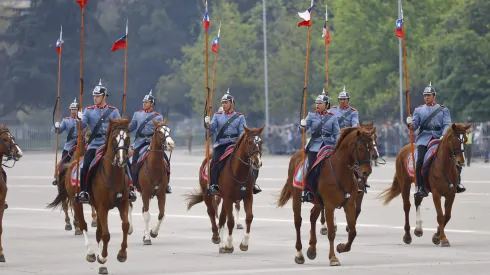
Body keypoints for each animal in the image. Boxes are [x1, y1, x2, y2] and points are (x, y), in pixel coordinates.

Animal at [127, 118, 175, 246]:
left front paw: (153, 232)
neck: (155, 166)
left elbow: (161, 214)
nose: (171, 144)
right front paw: (148, 238)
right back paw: (130, 228)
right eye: (159, 131)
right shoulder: (145, 193)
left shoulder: (161, 193)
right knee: (130, 207)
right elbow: (147, 216)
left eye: (169, 130)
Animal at [276, 127, 376, 268]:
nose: (366, 171)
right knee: (298, 222)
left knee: (312, 216)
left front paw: (341, 247)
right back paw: (299, 254)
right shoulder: (329, 206)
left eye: (371, 146)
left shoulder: (350, 204)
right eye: (361, 148)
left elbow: (352, 231)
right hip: (296, 198)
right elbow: (331, 233)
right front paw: (333, 258)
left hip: (317, 202)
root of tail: (296, 155)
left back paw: (312, 249)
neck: (340, 171)